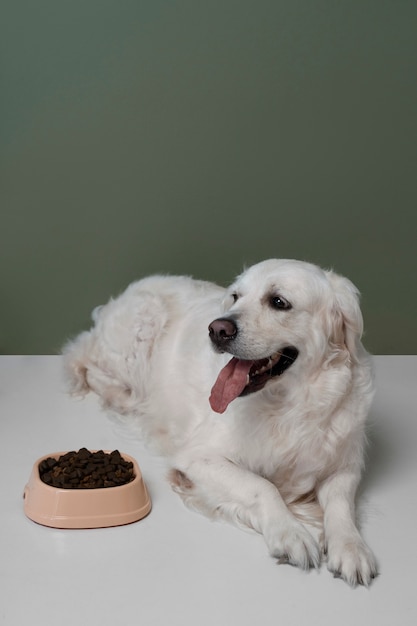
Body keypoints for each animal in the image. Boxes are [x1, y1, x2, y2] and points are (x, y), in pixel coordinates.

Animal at [64, 258, 376, 584]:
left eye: (279, 302)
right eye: (236, 296)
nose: (217, 328)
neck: (289, 405)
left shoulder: (345, 464)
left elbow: (341, 503)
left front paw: (350, 547)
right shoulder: (198, 456)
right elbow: (263, 486)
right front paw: (291, 532)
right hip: (141, 327)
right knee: (91, 370)